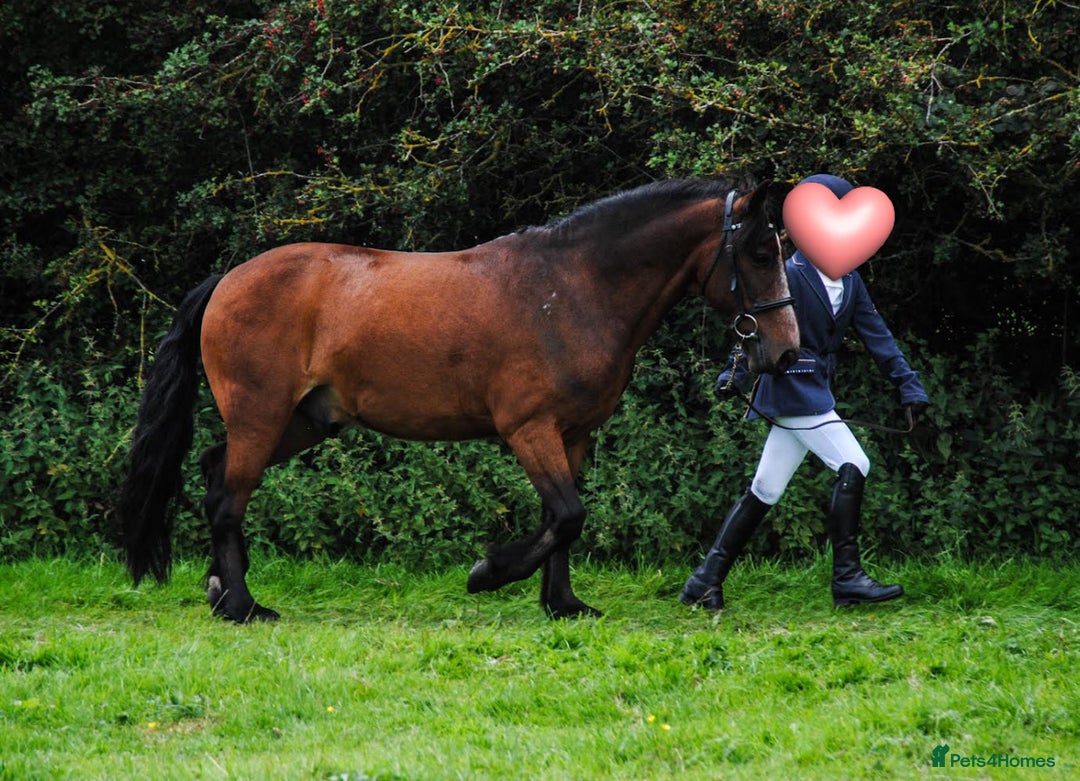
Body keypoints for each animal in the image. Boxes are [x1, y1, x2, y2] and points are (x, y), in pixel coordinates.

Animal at [116, 177, 799, 623]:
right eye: (759, 252)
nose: (786, 352)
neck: (570, 290)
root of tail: (227, 279)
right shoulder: (530, 429)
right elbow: (567, 515)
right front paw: (488, 574)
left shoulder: (573, 435)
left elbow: (563, 519)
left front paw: (564, 605)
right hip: (261, 416)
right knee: (228, 499)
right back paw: (242, 607)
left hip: (303, 422)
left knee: (214, 474)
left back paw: (218, 591)